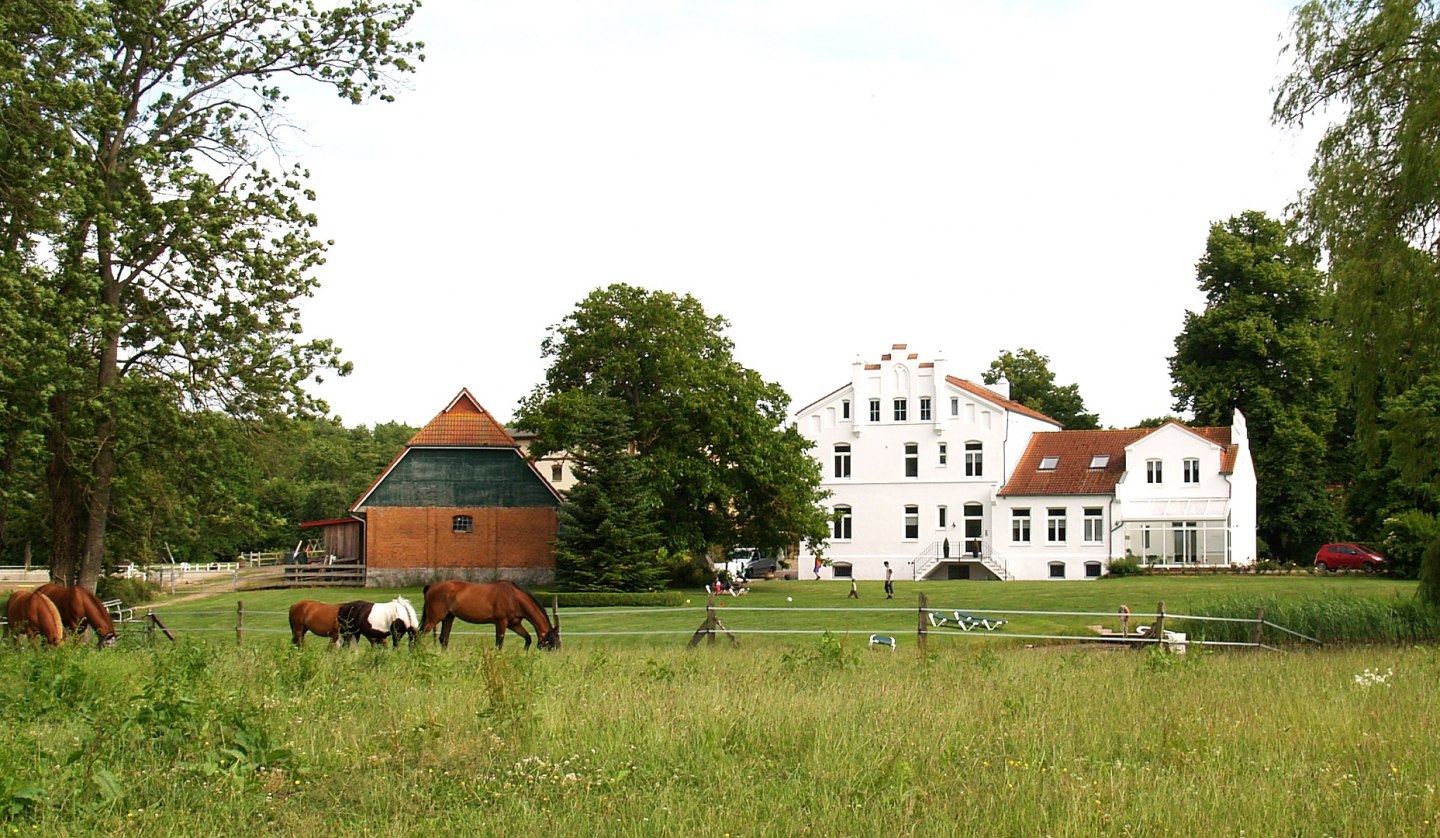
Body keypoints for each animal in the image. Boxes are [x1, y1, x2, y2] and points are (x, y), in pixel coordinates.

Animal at [420, 581, 558, 653]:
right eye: (553, 642)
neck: (513, 597)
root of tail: (431, 586)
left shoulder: (514, 624)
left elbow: (528, 638)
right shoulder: (501, 622)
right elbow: (499, 644)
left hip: (448, 617)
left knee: (443, 639)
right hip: (433, 619)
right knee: (420, 635)